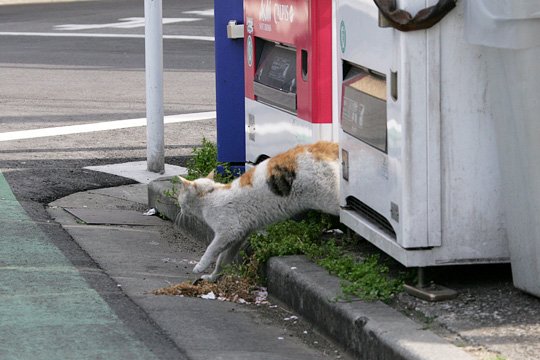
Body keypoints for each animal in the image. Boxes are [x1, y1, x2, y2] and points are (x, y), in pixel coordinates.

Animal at [175, 141, 340, 282]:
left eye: (179, 195)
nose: (179, 206)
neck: (211, 195)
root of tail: (324, 146)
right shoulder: (239, 235)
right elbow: (223, 260)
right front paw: (212, 277)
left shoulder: (228, 231)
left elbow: (211, 249)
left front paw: (199, 266)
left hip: (329, 197)